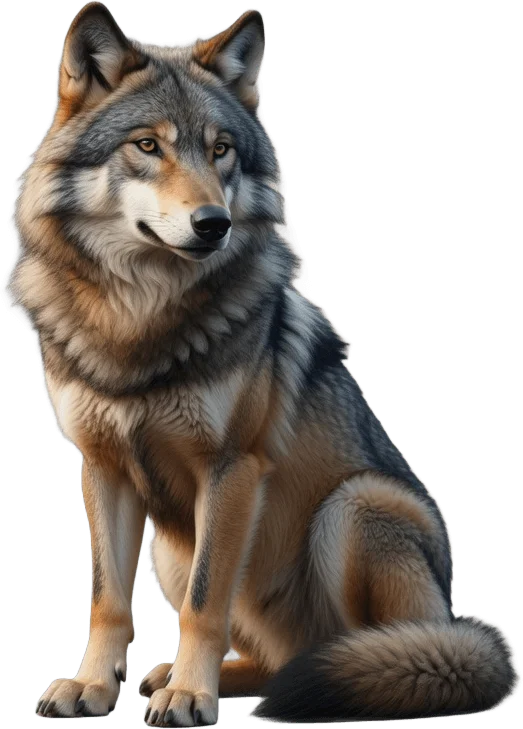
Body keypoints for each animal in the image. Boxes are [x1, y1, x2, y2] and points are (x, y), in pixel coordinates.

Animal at [11, 1, 519, 725]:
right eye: (147, 146)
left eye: (221, 149)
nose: (213, 223)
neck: (137, 316)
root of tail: (450, 616)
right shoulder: (102, 466)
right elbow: (107, 598)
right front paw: (93, 685)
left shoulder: (232, 468)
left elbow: (204, 606)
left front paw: (189, 696)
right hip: (172, 544)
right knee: (279, 658)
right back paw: (182, 676)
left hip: (353, 506)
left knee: (372, 652)